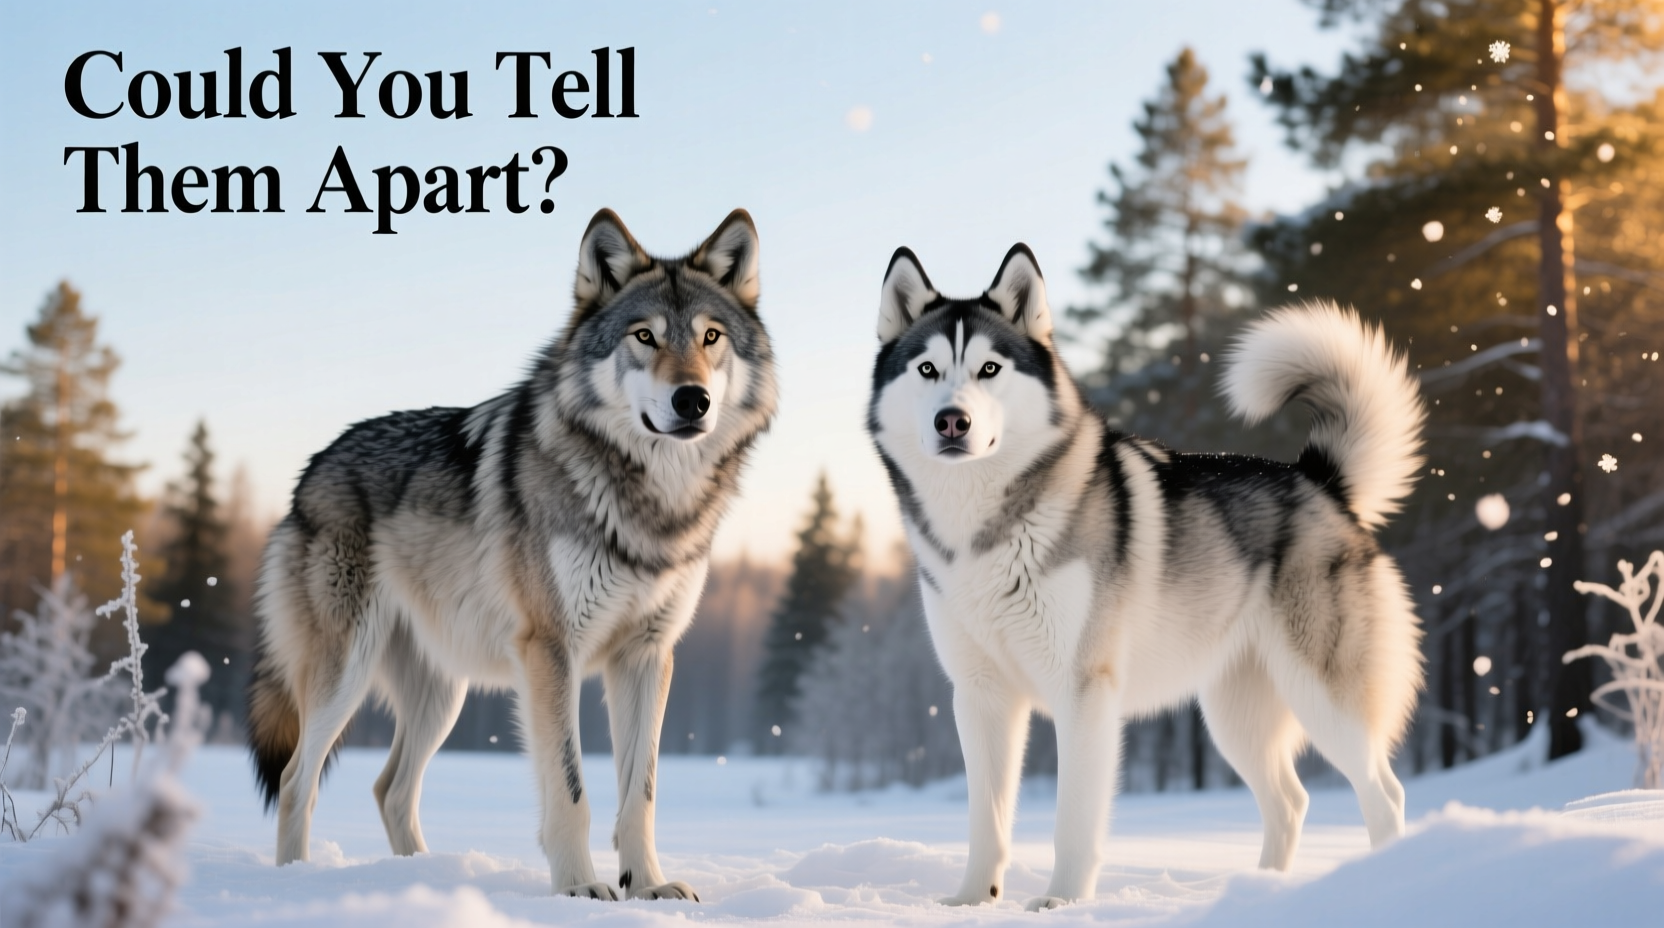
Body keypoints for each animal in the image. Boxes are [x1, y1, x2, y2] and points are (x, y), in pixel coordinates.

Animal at [246, 208, 777, 901]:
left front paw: (648, 887)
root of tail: (310, 470)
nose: (693, 400)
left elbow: (641, 792)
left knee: (390, 788)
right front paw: (579, 889)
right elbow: (571, 790)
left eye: (711, 337)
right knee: (295, 780)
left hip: (442, 696)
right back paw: (296, 883)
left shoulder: (646, 656)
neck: (649, 504)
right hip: (347, 673)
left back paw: (422, 879)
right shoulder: (551, 650)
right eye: (645, 336)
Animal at [867, 244, 1425, 910]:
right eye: (927, 369)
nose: (953, 421)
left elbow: (1073, 820)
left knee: (1384, 794)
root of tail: (1322, 482)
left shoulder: (1084, 692)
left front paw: (1062, 901)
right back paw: (1256, 894)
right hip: (1235, 717)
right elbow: (987, 818)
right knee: (1291, 802)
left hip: (1324, 699)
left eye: (990, 369)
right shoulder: (980, 695)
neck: (985, 528)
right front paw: (974, 900)